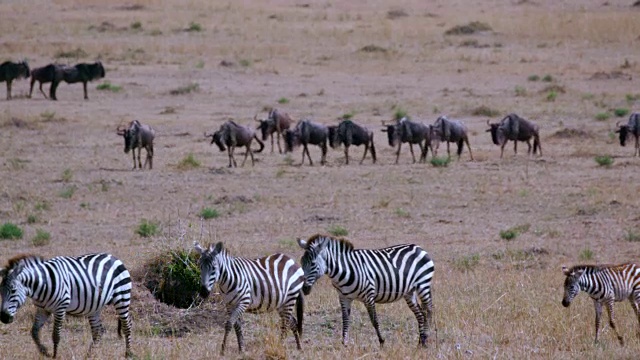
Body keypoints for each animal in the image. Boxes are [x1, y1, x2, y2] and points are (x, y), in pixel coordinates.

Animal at [0, 253, 132, 358]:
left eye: (13, 290)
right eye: (0, 291)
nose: (4, 318)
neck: (42, 284)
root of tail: (113, 257)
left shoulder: (60, 308)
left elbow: (56, 335)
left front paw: (54, 355)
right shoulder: (42, 309)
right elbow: (34, 332)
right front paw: (44, 352)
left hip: (122, 297)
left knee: (127, 325)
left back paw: (128, 353)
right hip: (95, 307)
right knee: (97, 331)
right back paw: (89, 355)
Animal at [298, 235, 438, 348]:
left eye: (313, 264)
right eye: (301, 262)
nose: (304, 289)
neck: (343, 271)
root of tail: (418, 247)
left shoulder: (368, 296)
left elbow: (374, 320)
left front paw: (381, 342)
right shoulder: (343, 297)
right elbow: (345, 320)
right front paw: (344, 343)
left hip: (423, 284)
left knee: (429, 310)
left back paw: (426, 339)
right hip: (409, 292)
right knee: (420, 314)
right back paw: (420, 342)